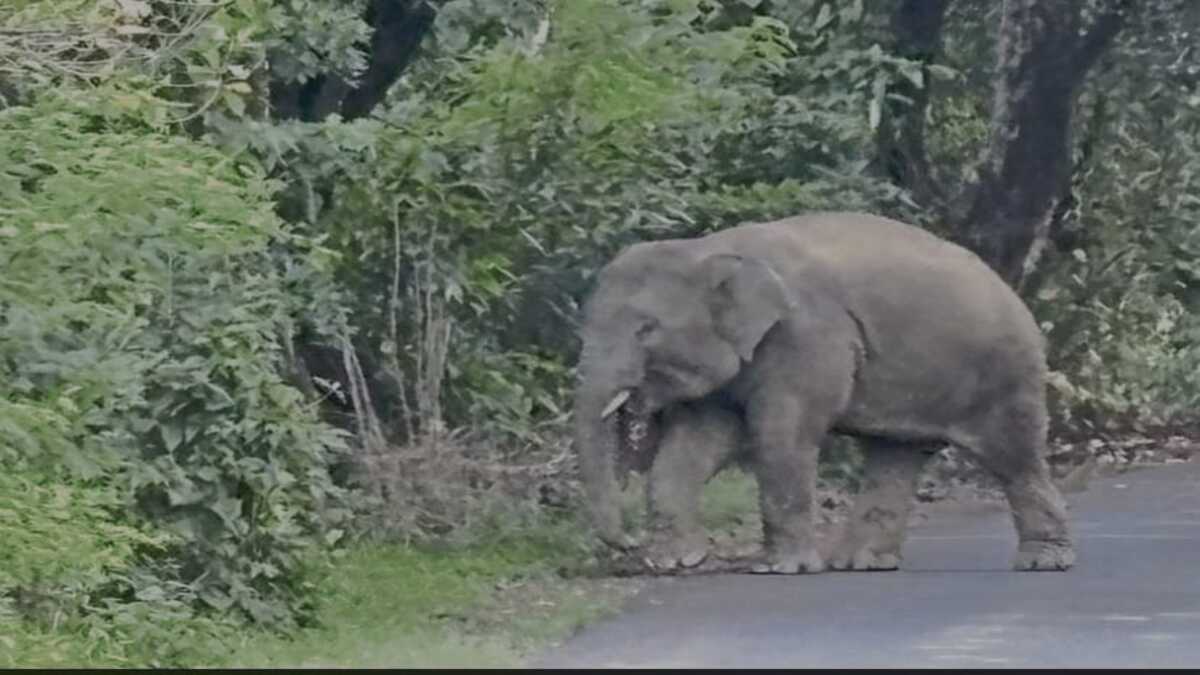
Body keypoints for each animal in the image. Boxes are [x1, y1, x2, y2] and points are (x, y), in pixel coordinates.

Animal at [572, 211, 1075, 575]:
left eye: (646, 329)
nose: (628, 544)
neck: (708, 247)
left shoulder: (807, 337)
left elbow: (782, 436)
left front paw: (780, 569)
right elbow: (693, 445)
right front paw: (676, 561)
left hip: (1007, 371)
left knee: (1014, 456)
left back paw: (1043, 561)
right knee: (894, 456)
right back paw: (862, 563)